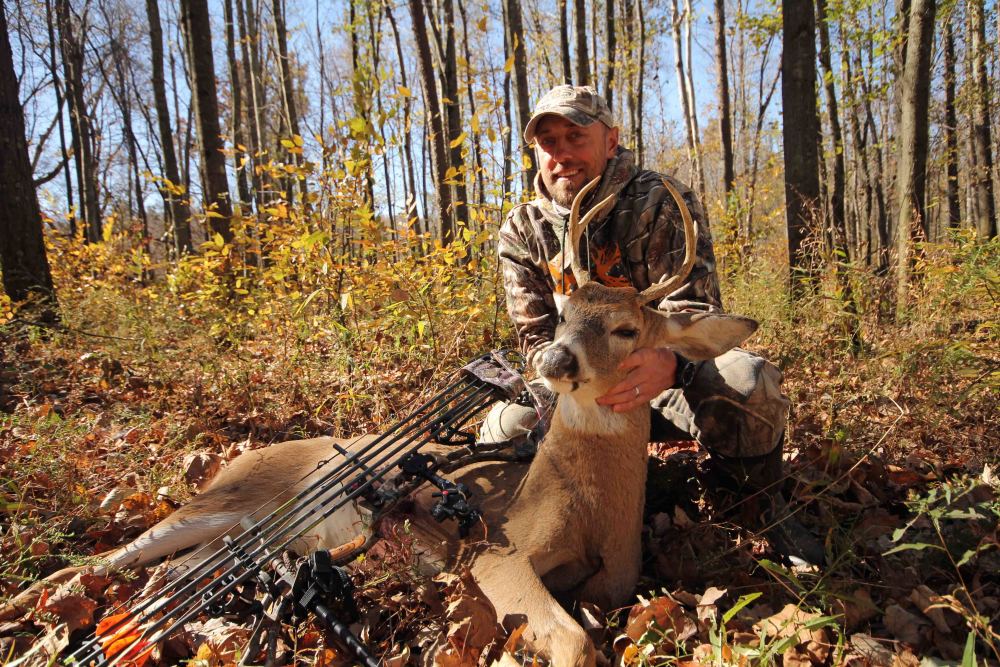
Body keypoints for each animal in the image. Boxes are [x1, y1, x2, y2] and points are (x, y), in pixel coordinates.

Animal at [3, 177, 756, 667]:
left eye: (626, 329)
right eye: (567, 312)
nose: (555, 356)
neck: (590, 504)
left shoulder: (618, 577)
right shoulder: (498, 549)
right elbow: (572, 639)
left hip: (228, 536)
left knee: (163, 578)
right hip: (215, 500)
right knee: (104, 560)